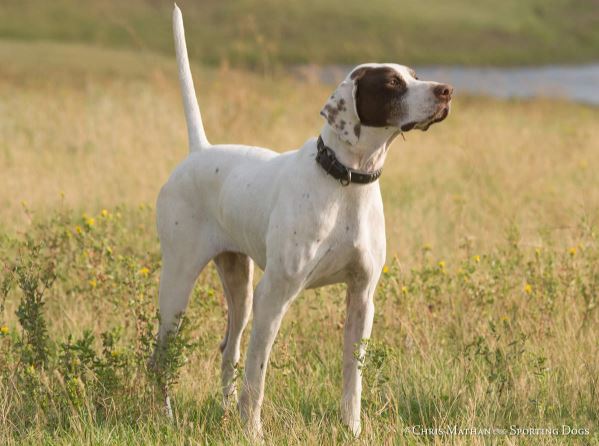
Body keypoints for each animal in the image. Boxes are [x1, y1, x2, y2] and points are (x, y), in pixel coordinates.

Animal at [155, 4, 454, 440]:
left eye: (416, 75)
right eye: (393, 83)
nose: (446, 90)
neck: (345, 182)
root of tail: (200, 150)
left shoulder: (362, 297)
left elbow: (352, 377)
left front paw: (352, 429)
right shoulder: (274, 296)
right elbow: (257, 376)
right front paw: (253, 433)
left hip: (239, 286)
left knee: (228, 349)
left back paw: (224, 412)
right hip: (179, 286)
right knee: (161, 356)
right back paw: (165, 415)